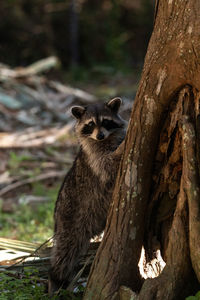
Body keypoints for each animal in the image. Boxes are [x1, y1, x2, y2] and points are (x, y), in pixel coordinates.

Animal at [48, 97, 126, 294]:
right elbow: (107, 165)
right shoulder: (93, 157)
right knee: (64, 253)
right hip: (70, 220)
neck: (104, 141)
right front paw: (120, 150)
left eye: (106, 121)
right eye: (90, 124)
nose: (100, 136)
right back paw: (55, 278)